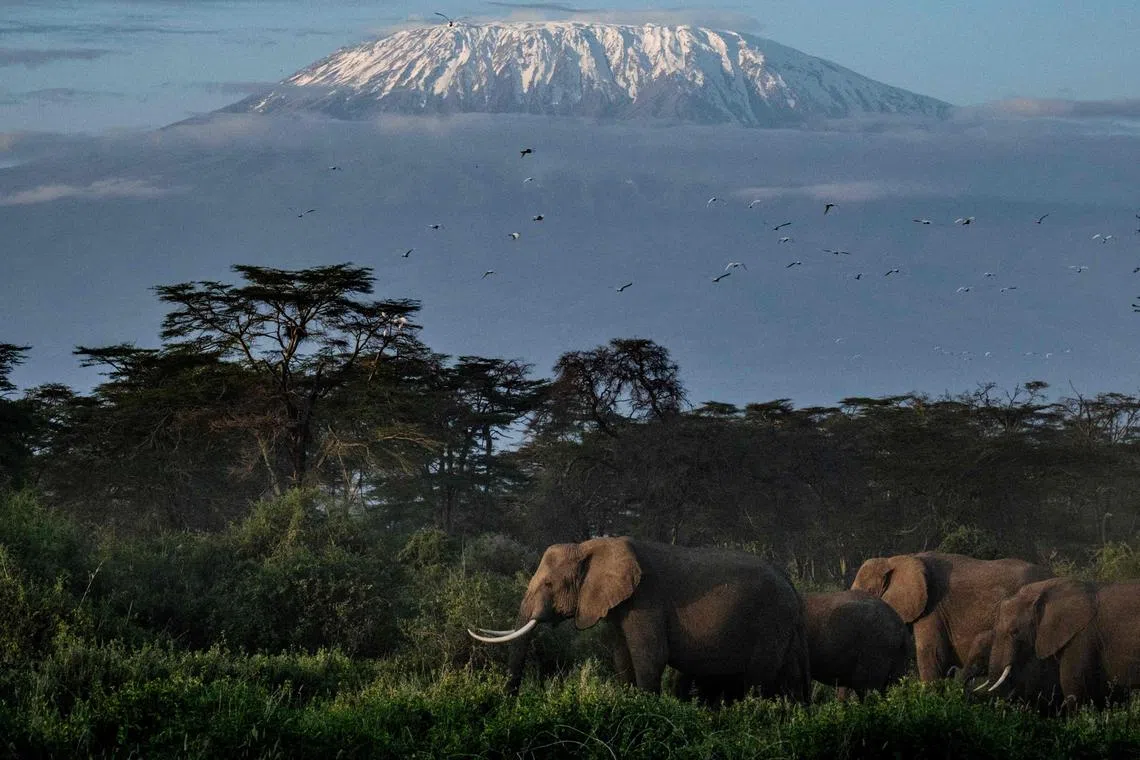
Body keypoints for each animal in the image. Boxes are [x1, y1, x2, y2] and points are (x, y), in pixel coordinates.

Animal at [468, 536, 811, 700]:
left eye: (550, 585)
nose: (509, 702)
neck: (592, 545)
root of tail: (794, 589)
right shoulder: (618, 605)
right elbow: (622, 657)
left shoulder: (646, 600)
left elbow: (650, 656)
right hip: (784, 628)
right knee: (790, 679)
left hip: (770, 622)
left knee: (758, 681)